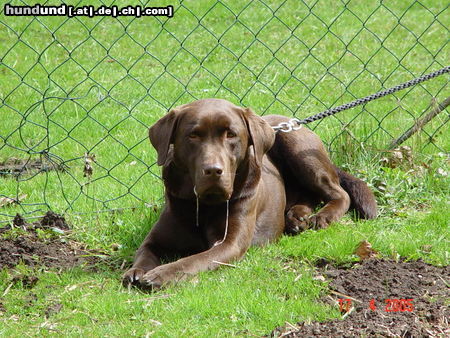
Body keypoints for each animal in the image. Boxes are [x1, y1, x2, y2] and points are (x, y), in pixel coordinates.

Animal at [122, 97, 376, 288]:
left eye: (231, 134)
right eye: (193, 135)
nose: (213, 170)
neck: (202, 205)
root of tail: (285, 122)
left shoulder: (229, 243)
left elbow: (191, 260)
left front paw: (160, 274)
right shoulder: (155, 239)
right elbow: (144, 252)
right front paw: (135, 271)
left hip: (296, 145)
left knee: (339, 193)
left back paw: (322, 216)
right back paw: (297, 217)